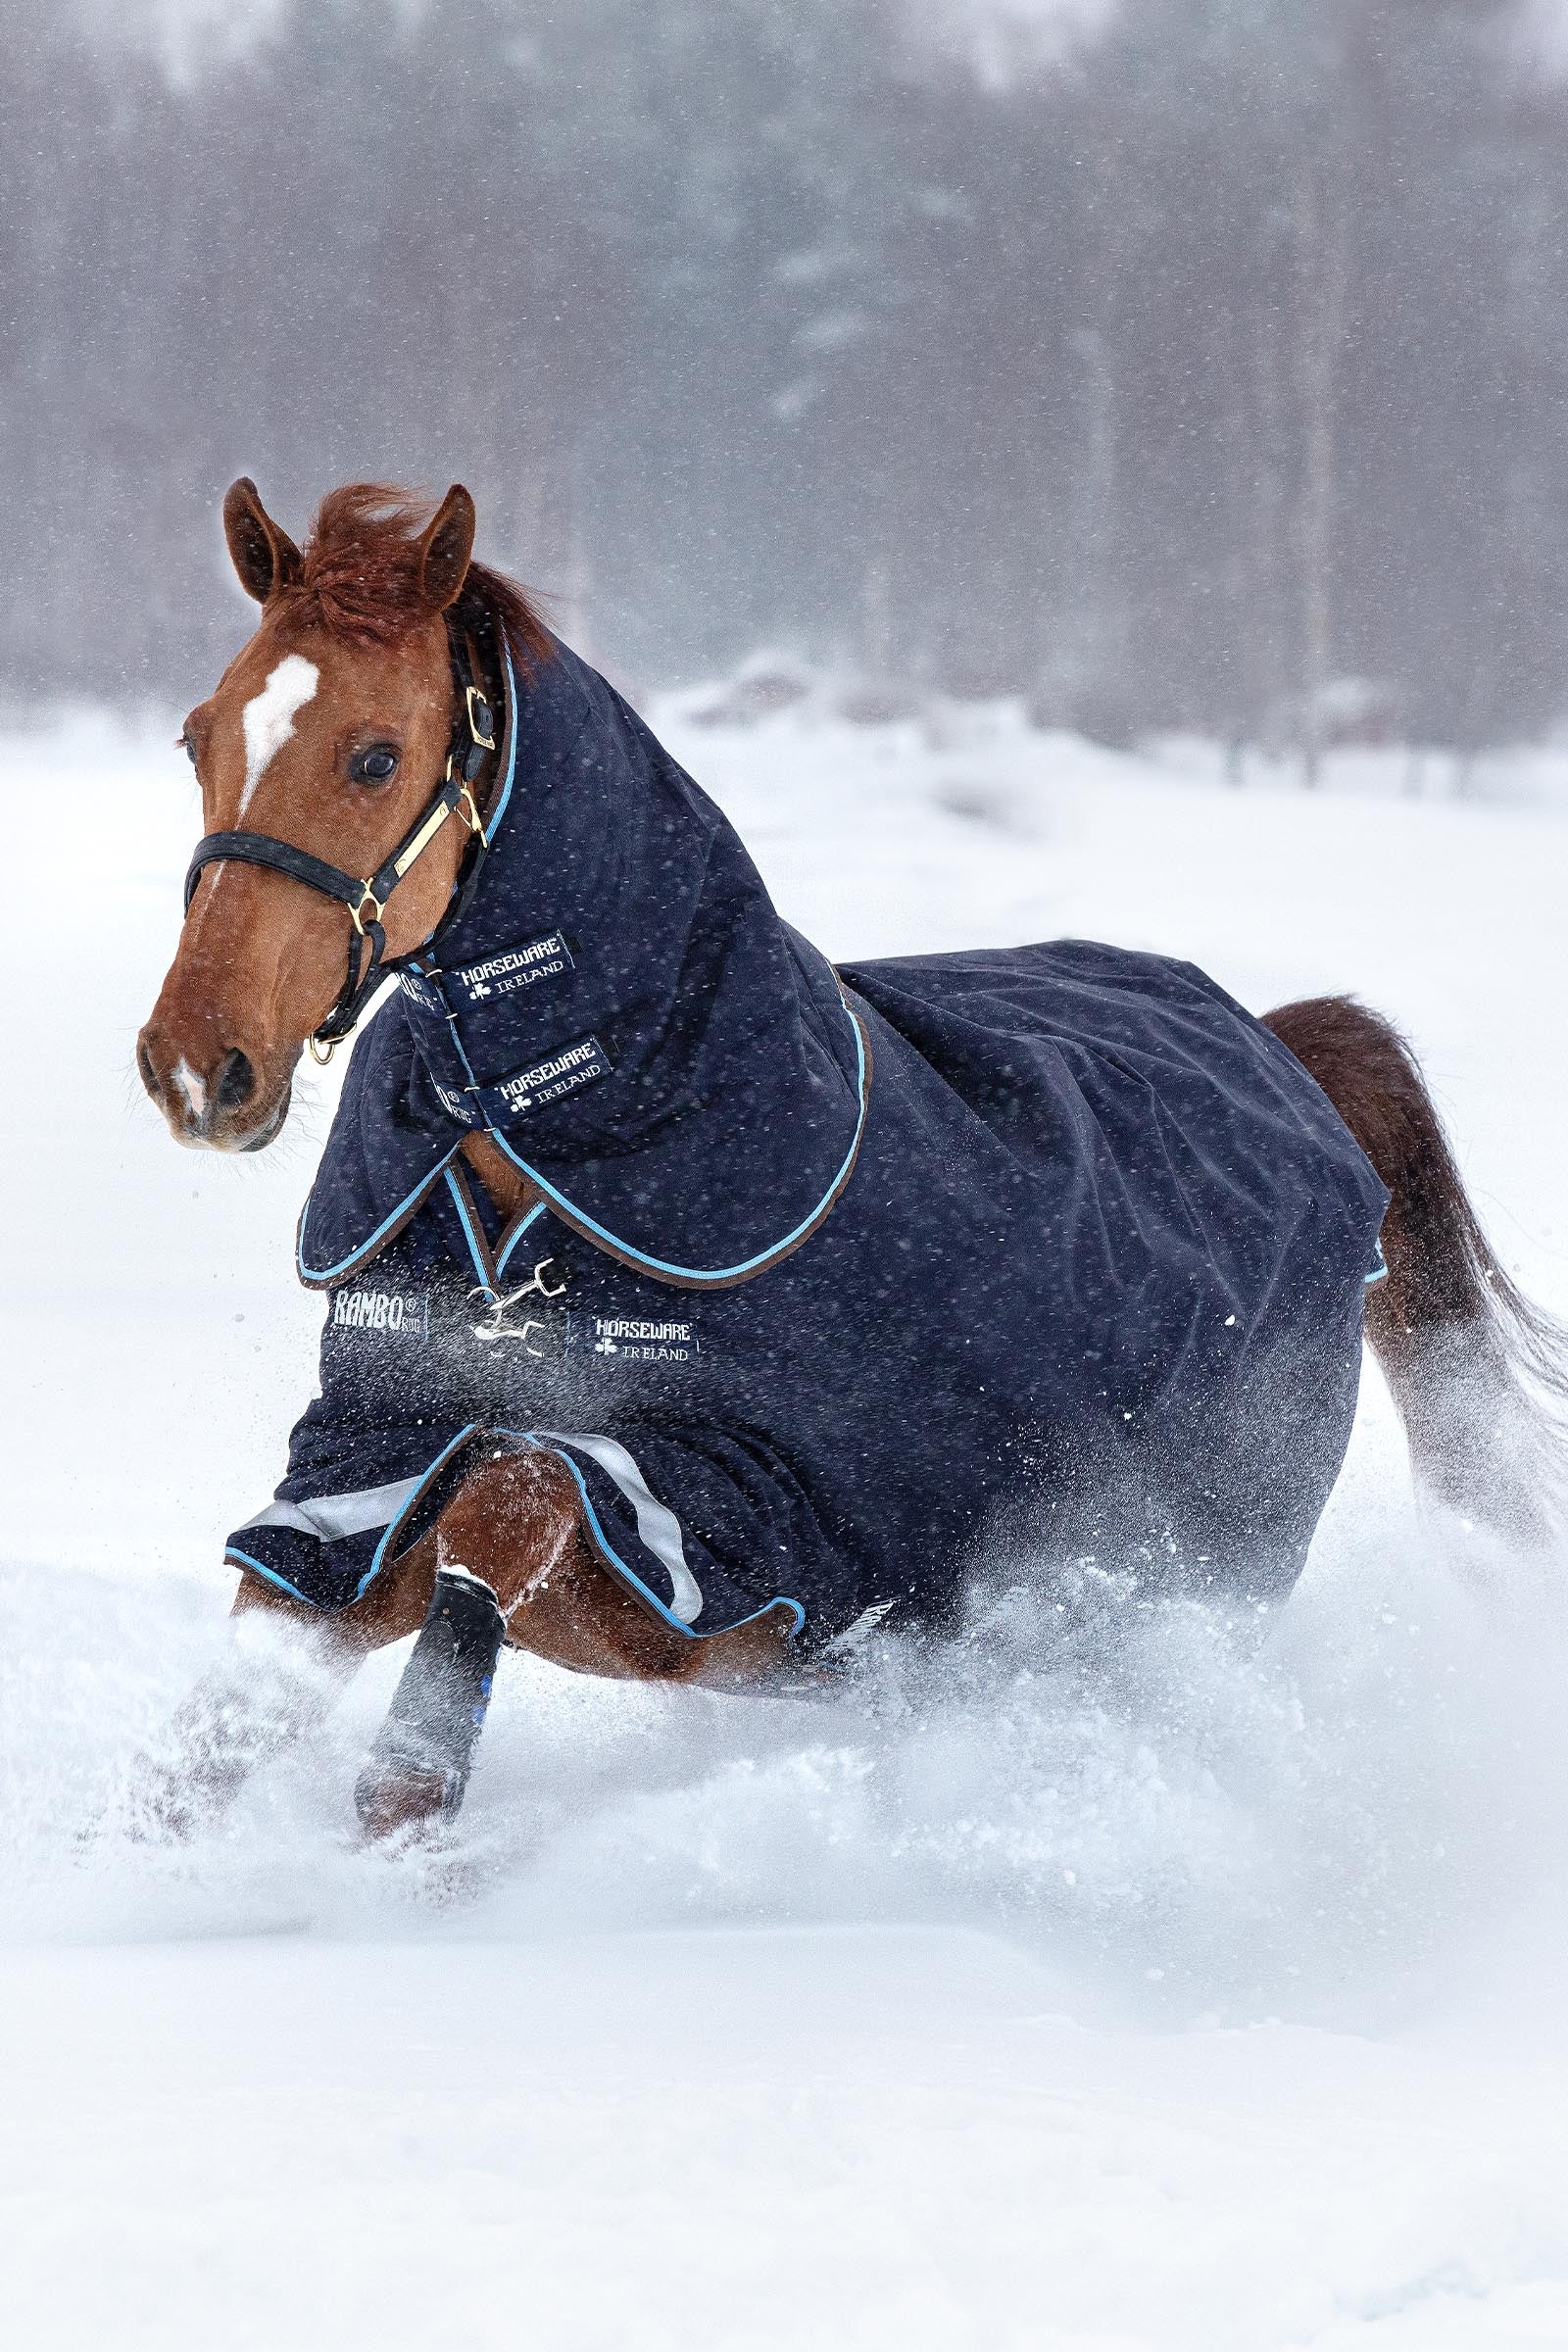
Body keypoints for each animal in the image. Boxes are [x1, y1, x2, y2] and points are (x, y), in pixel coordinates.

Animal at [131, 477, 1568, 1842]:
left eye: (374, 757)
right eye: (202, 737)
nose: (197, 1064)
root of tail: (1286, 1048)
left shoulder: (743, 1528)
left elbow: (513, 1498)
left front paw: (405, 1810)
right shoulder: (361, 1474)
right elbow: (213, 1727)